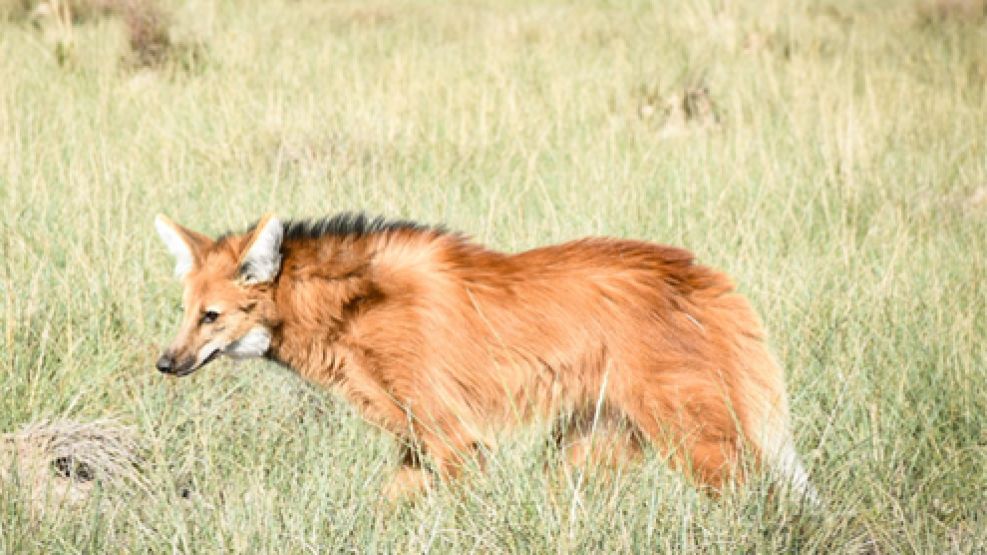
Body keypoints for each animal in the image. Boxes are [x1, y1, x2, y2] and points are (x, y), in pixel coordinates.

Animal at [154, 215, 820, 502]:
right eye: (185, 311)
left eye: (210, 316)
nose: (166, 363)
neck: (348, 311)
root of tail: (704, 275)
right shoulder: (419, 442)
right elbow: (389, 505)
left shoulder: (456, 438)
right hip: (594, 438)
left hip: (689, 435)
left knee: (749, 492)